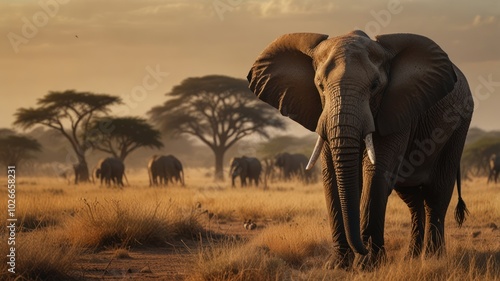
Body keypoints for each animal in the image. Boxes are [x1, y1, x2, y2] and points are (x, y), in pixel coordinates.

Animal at [248, 30, 474, 266]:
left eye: (375, 86)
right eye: (320, 85)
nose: (363, 248)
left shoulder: (396, 108)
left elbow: (376, 171)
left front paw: (367, 264)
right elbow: (332, 175)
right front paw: (338, 265)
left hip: (459, 123)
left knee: (437, 193)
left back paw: (432, 258)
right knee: (412, 197)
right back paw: (411, 257)